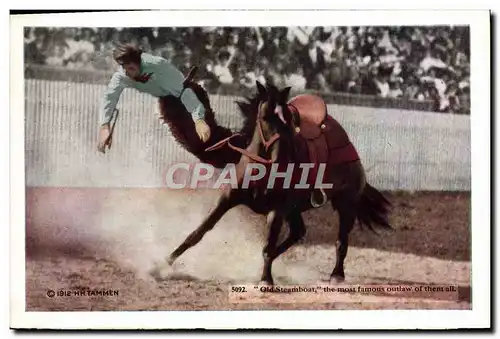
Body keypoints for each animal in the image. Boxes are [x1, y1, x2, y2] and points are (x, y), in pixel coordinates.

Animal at [154, 81, 392, 286]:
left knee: (340, 242)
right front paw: (163, 264)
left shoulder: (276, 210)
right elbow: (198, 232)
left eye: (289, 119)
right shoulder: (227, 199)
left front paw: (266, 280)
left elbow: (267, 247)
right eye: (265, 116)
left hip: (346, 204)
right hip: (296, 209)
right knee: (298, 232)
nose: (280, 157)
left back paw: (336, 275)